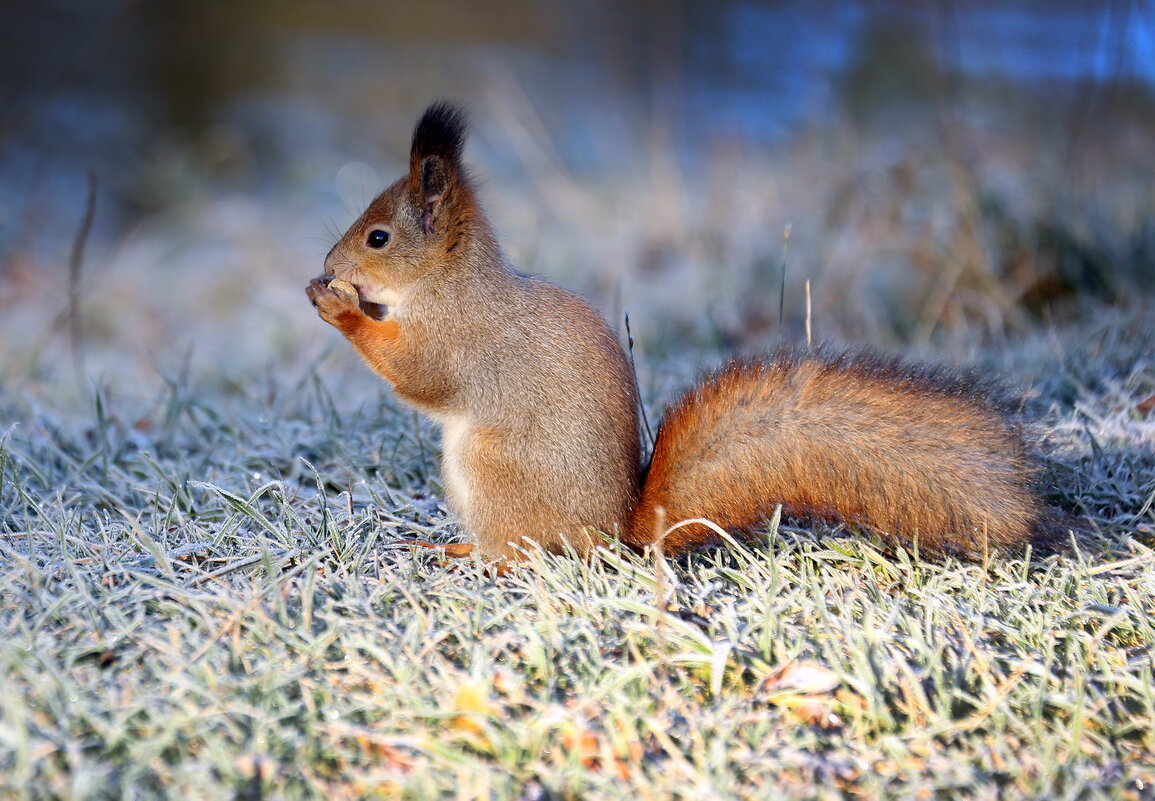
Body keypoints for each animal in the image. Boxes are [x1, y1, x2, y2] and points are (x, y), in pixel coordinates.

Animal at [307, 100, 1071, 565]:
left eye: (378, 237)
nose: (328, 266)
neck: (450, 280)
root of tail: (615, 534)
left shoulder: (458, 337)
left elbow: (418, 373)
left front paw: (338, 307)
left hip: (490, 472)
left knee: (526, 552)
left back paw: (472, 553)